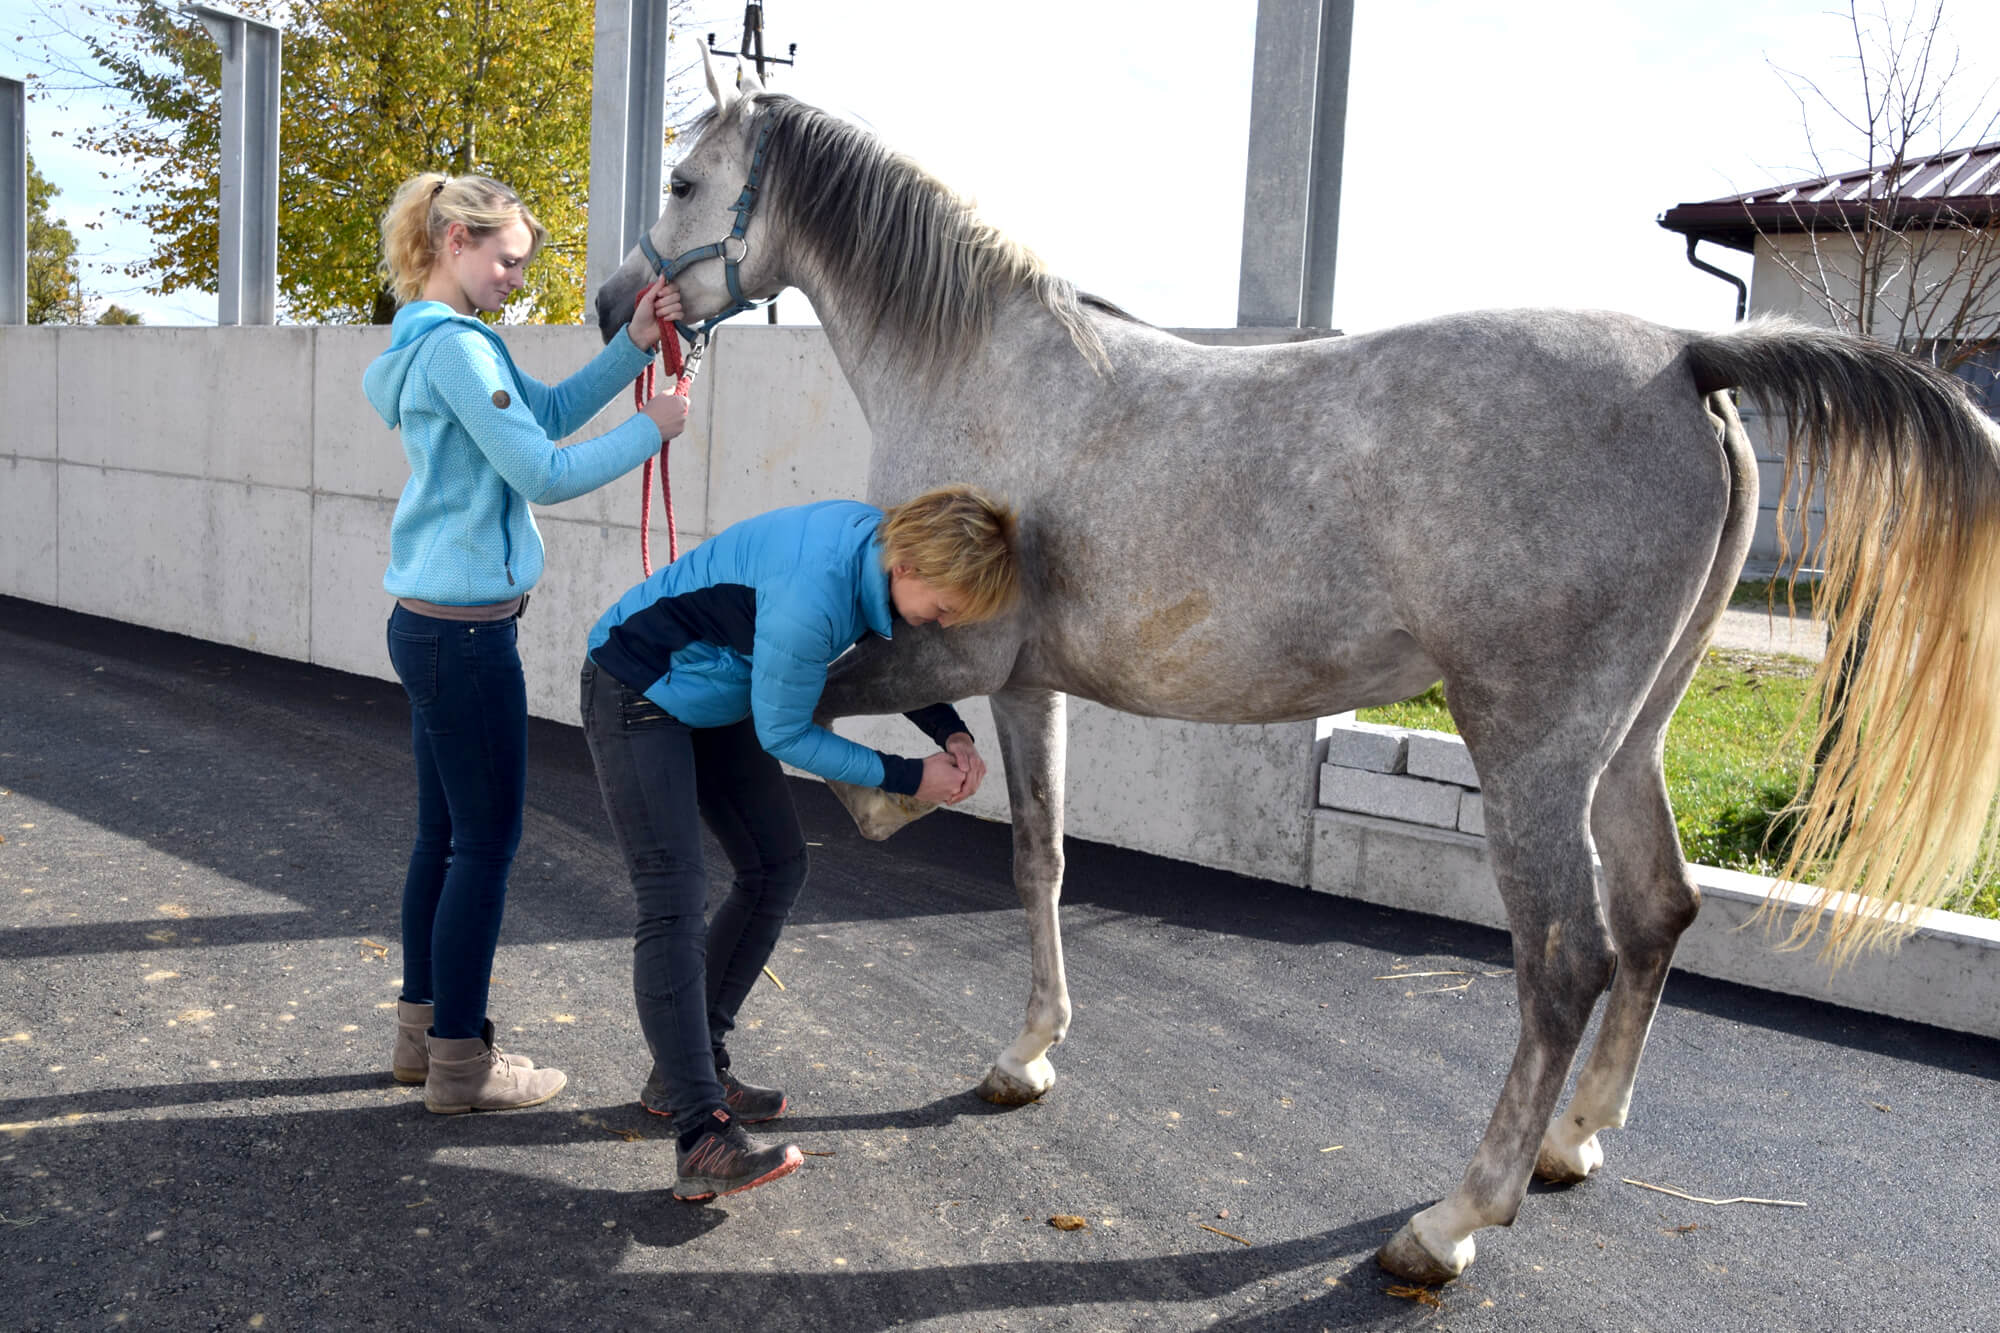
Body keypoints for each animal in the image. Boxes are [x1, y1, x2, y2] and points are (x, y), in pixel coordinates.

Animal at [592, 59, 2000, 1280]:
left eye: (684, 183)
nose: (614, 306)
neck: (982, 368)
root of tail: (1686, 354)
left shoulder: (955, 645)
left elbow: (817, 704)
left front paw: (874, 804)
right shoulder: (1027, 678)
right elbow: (1038, 855)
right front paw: (1028, 1053)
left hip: (1528, 746)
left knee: (1564, 960)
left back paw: (1451, 1220)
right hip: (1628, 739)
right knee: (1658, 914)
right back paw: (1570, 1141)